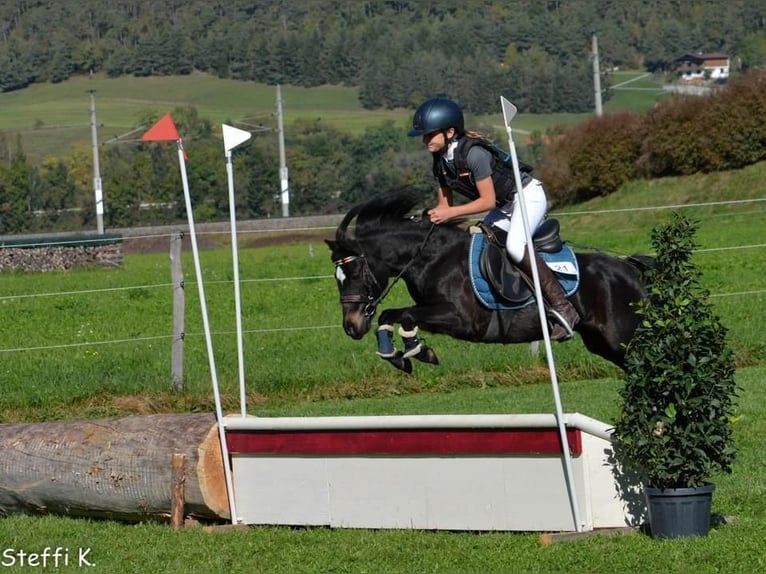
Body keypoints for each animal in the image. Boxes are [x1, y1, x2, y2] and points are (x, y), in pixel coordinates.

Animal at [328, 191, 652, 376]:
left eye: (355, 272)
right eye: (337, 278)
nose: (351, 326)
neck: (432, 257)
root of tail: (630, 268)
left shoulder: (462, 319)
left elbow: (405, 315)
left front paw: (419, 351)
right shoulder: (432, 310)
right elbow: (389, 315)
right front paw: (399, 356)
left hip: (625, 338)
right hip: (604, 344)